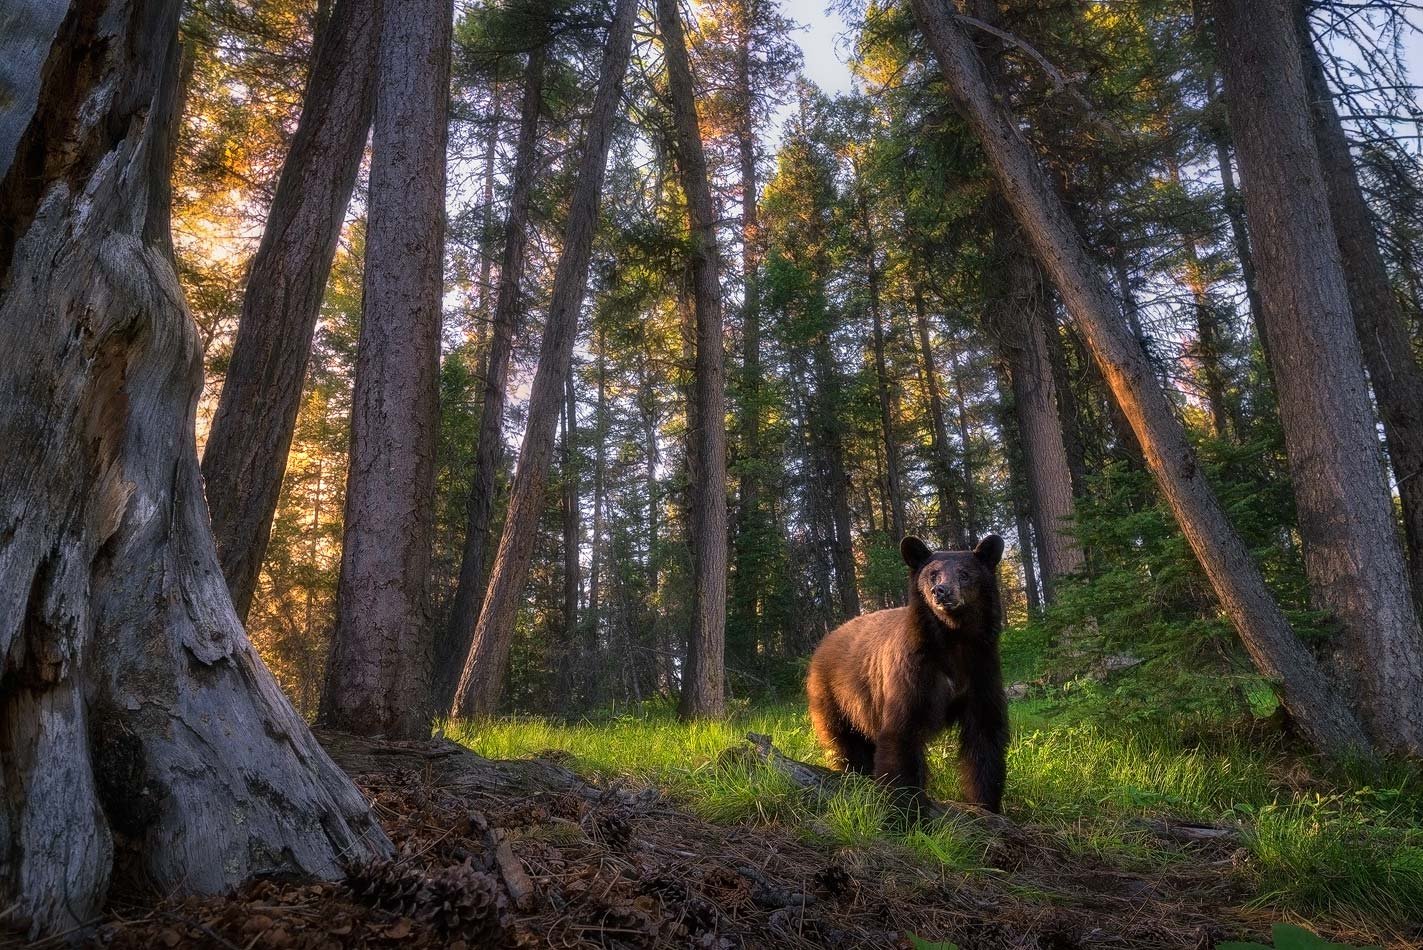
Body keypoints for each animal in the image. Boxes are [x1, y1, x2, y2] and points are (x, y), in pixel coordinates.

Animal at [808, 534, 1007, 807]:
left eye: (965, 573)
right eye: (932, 575)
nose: (941, 591)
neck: (953, 640)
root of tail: (823, 643)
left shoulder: (982, 669)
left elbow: (985, 735)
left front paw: (985, 804)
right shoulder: (914, 671)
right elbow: (902, 731)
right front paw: (905, 807)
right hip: (836, 697)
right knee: (846, 744)